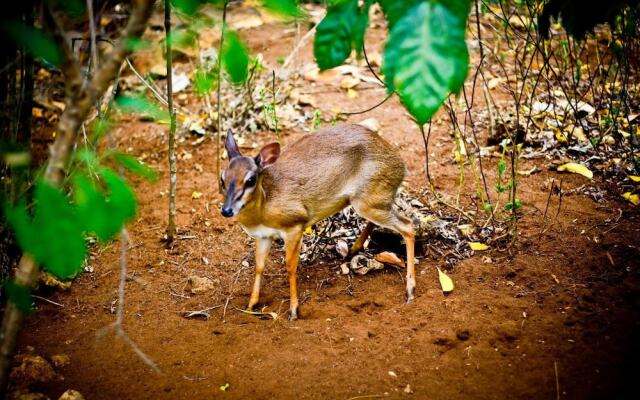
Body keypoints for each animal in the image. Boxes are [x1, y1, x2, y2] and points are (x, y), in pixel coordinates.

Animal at [221, 123, 416, 320]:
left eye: (250, 179)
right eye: (222, 178)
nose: (226, 210)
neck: (265, 203)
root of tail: (401, 165)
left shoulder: (294, 228)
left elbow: (291, 266)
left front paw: (293, 311)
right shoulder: (263, 236)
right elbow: (259, 267)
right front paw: (251, 305)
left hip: (369, 203)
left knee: (408, 225)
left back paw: (410, 291)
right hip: (370, 203)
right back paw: (353, 249)